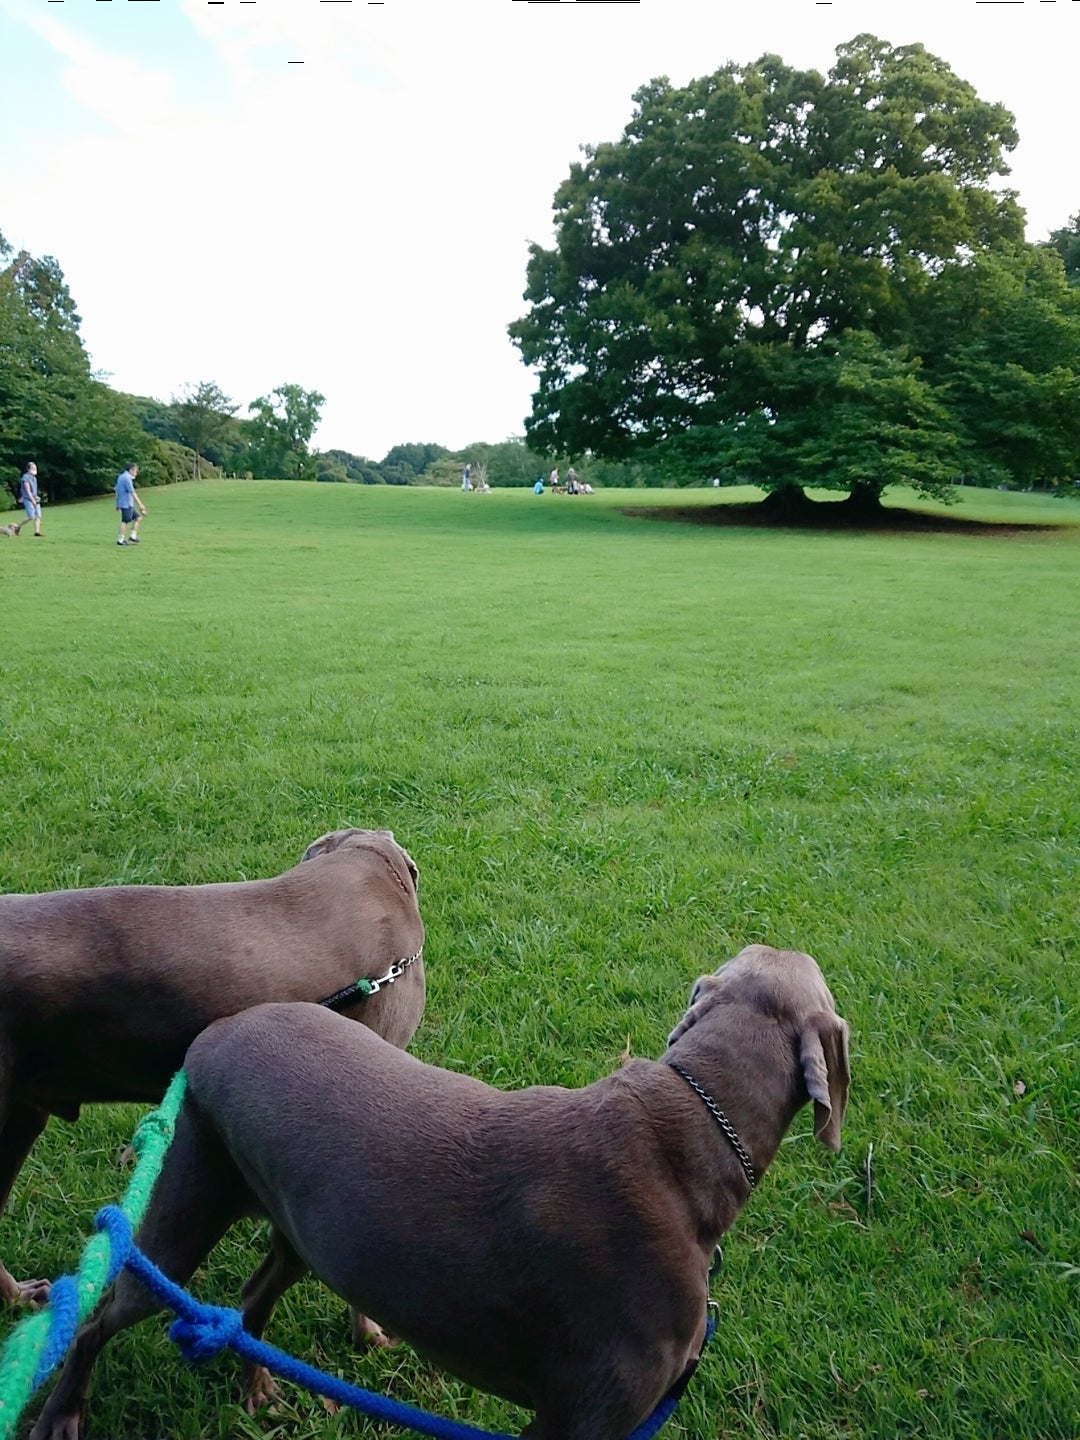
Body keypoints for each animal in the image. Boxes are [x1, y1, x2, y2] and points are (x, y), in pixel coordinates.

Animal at [30, 944, 849, 1440]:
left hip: (307, 1233)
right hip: (187, 1209)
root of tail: (216, 1030)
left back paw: (258, 1388)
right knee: (99, 1313)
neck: (689, 1134)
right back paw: (61, 1414)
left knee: (253, 1301)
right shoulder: (581, 1415)